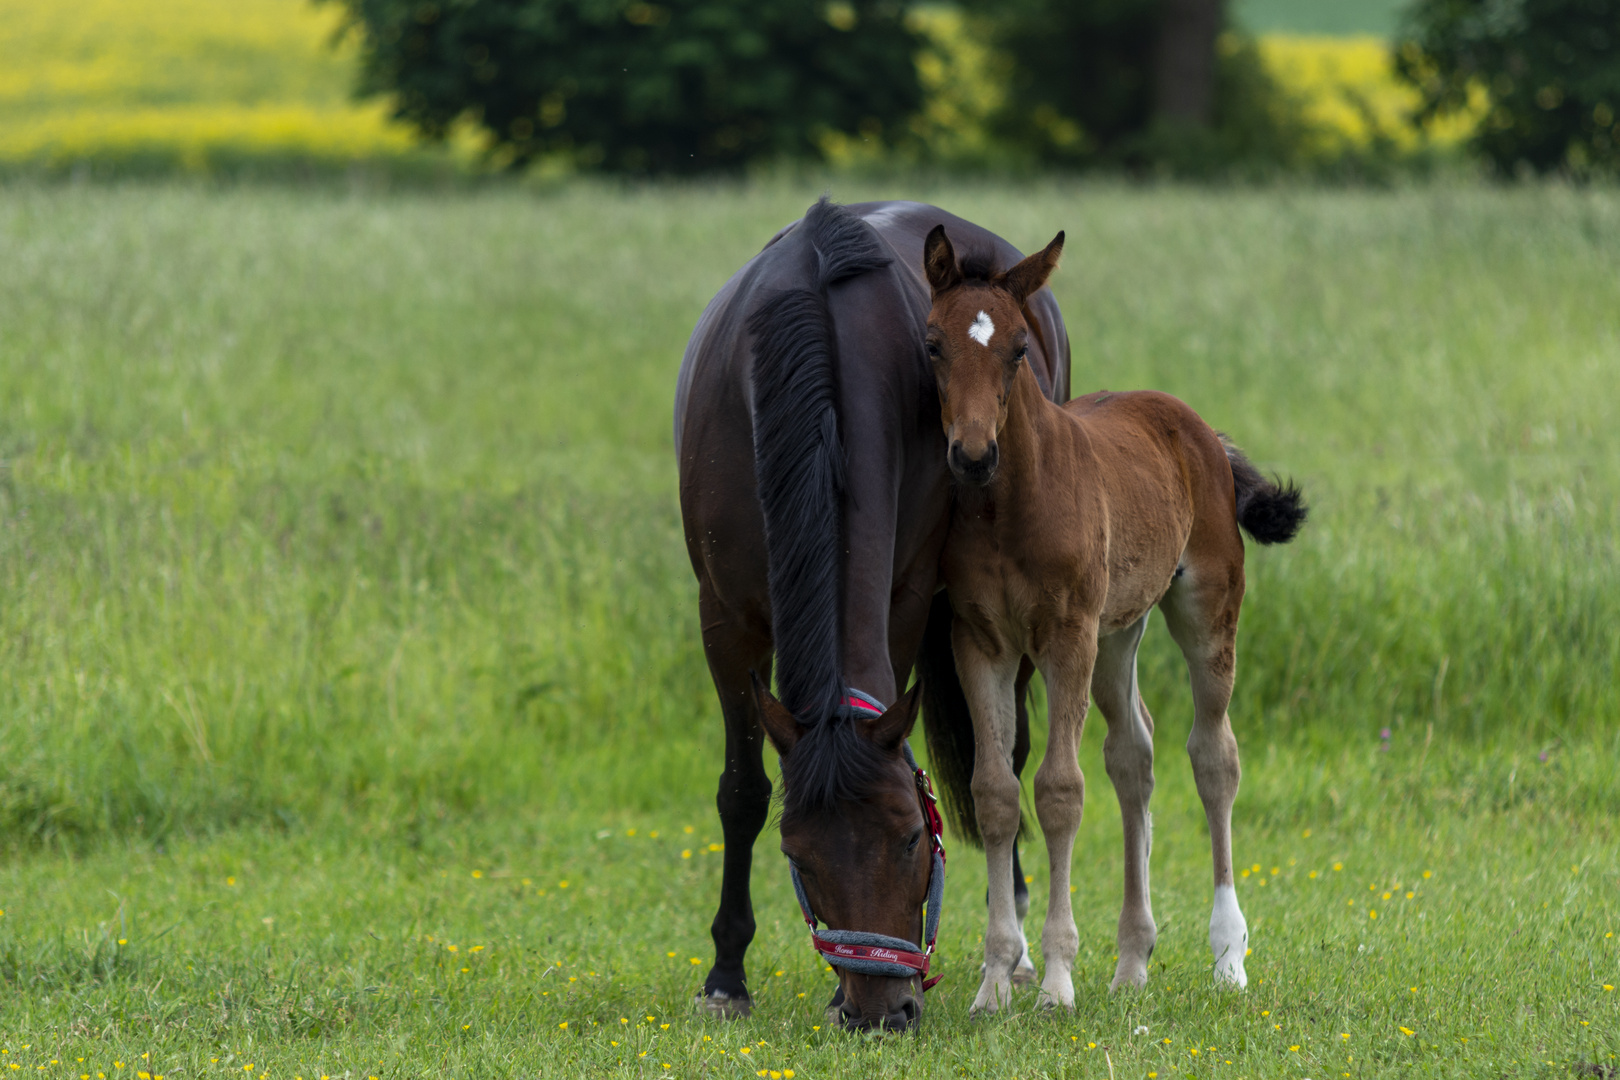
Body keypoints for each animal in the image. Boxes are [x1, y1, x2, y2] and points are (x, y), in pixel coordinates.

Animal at [673, 196, 1069, 1029]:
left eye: (912, 838)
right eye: (799, 854)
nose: (881, 1010)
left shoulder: (907, 596)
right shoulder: (723, 619)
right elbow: (741, 792)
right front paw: (726, 976)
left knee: (1009, 757)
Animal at [926, 221, 1302, 1016]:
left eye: (1018, 349)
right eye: (934, 343)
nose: (972, 455)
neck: (1009, 506)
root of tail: (1199, 427)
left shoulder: (1065, 635)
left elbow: (1060, 791)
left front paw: (1057, 982)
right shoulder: (981, 641)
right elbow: (995, 793)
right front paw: (994, 982)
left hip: (1204, 609)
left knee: (1213, 755)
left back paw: (1229, 957)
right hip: (1116, 633)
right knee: (1135, 753)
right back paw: (1132, 961)